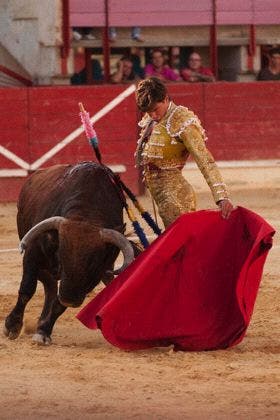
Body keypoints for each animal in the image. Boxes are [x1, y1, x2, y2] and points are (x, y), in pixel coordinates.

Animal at [3, 162, 136, 344]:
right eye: (61, 254)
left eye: (94, 263)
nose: (69, 299)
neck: (86, 216)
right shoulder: (32, 254)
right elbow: (27, 289)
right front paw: (12, 326)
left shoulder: (94, 276)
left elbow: (59, 305)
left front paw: (43, 331)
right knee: (49, 284)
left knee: (51, 288)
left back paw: (42, 321)